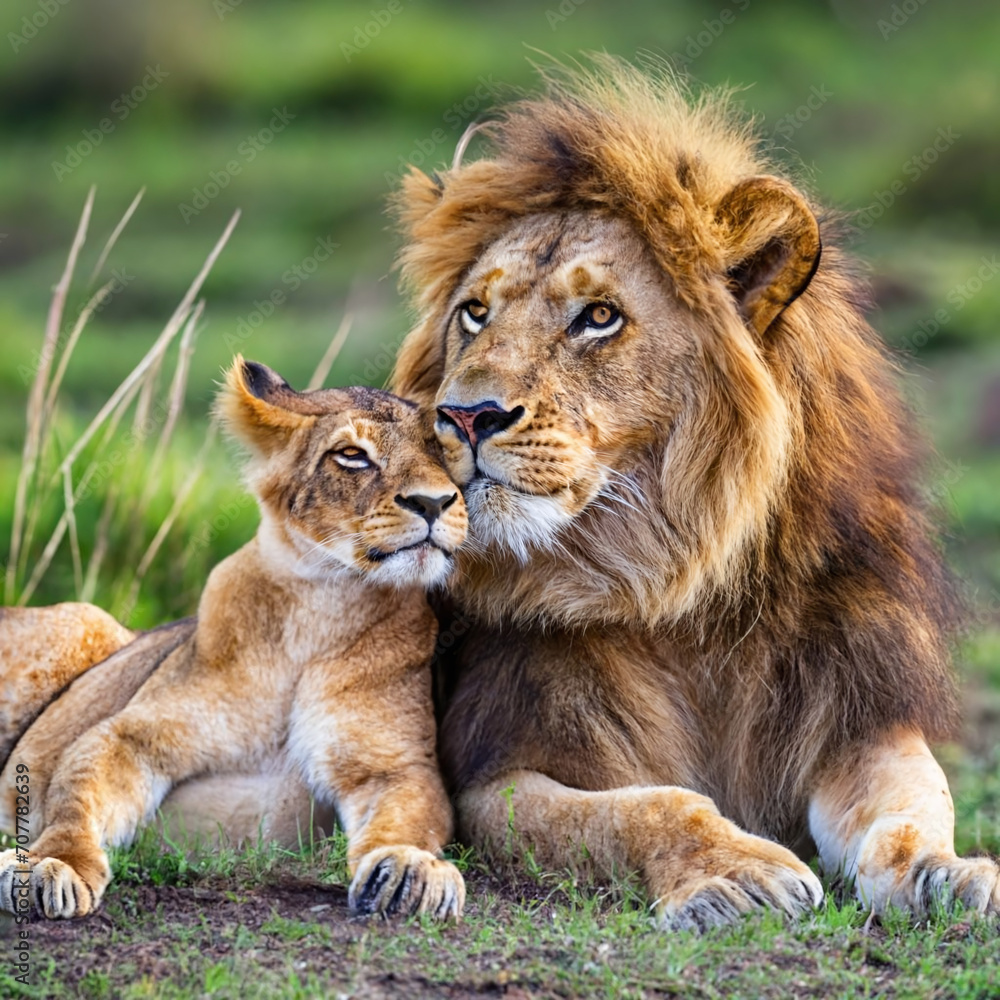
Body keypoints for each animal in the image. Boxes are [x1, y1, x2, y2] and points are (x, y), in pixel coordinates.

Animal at [0, 357, 467, 921]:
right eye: (352, 455)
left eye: (443, 449)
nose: (433, 503)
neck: (319, 603)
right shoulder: (129, 734)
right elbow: (74, 798)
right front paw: (49, 865)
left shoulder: (396, 768)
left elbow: (411, 818)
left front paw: (412, 868)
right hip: (83, 620)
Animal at [388, 56, 1000, 929]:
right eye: (474, 312)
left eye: (599, 317)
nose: (464, 416)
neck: (679, 589)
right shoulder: (493, 772)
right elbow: (649, 805)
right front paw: (740, 873)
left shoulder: (854, 718)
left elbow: (913, 802)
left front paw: (944, 874)